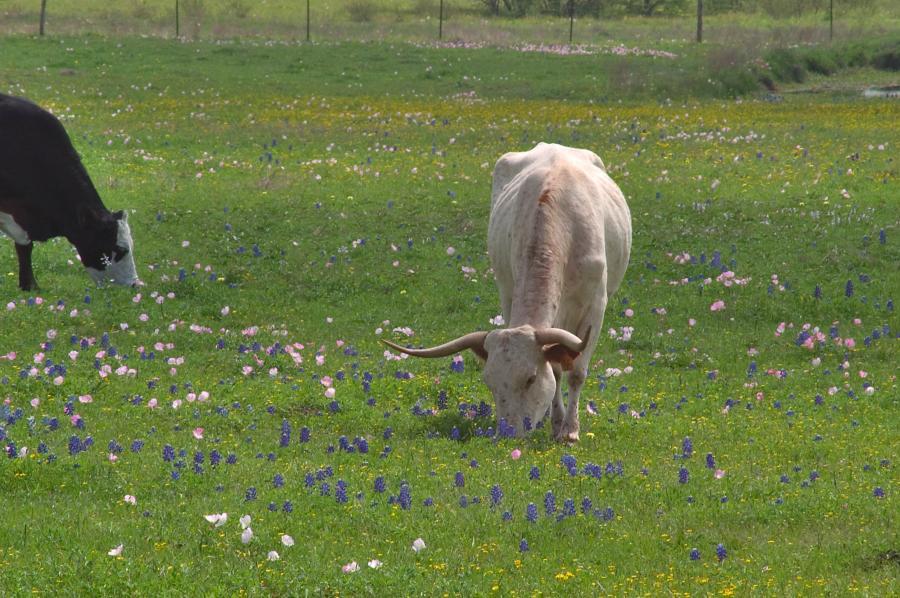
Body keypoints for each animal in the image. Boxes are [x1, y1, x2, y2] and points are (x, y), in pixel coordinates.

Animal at [386, 144, 632, 446]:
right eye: (489, 382)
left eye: (530, 379)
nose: (507, 434)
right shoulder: (512, 294)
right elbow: (556, 371)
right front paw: (556, 424)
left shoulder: (595, 308)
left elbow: (576, 373)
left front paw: (570, 430)